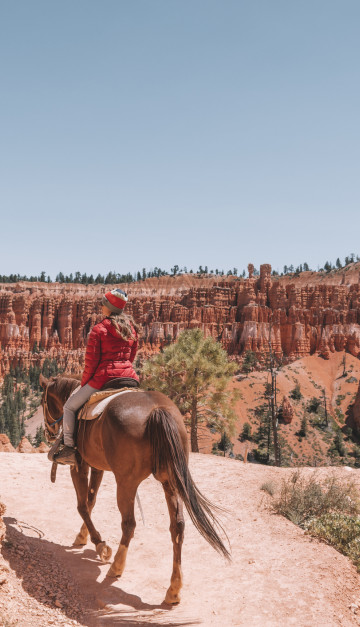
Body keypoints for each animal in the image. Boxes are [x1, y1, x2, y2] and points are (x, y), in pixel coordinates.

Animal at [39, 376, 229, 604]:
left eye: (42, 402)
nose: (48, 433)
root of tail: (157, 410)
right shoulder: (97, 467)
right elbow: (91, 501)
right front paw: (83, 536)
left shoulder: (80, 465)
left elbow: (82, 505)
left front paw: (100, 544)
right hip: (171, 482)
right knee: (178, 527)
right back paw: (173, 589)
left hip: (126, 482)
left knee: (129, 523)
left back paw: (116, 566)